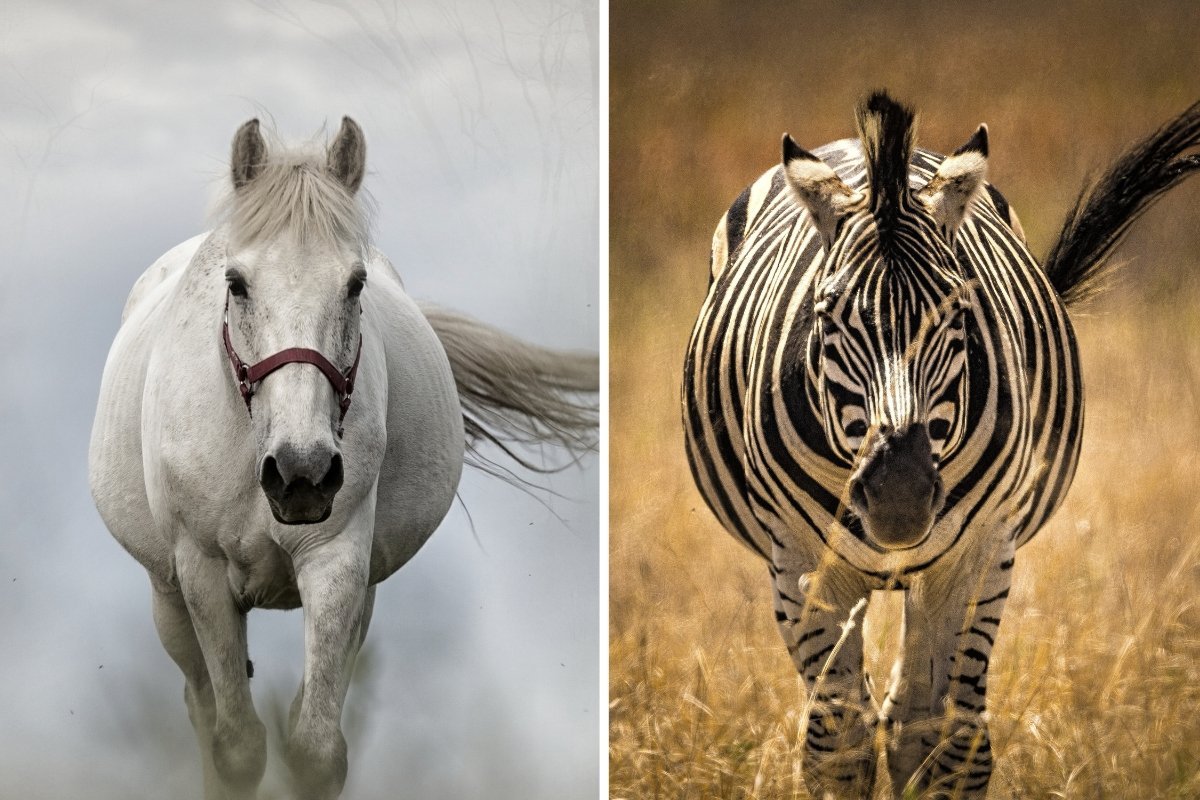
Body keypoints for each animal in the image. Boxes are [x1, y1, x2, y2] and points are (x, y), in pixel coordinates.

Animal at [88, 117, 597, 800]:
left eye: (355, 284)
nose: (300, 473)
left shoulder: (339, 562)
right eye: (236, 283)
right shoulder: (202, 572)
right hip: (166, 595)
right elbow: (237, 748)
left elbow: (314, 748)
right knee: (201, 705)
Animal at [682, 91, 1200, 798]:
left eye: (956, 312)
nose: (899, 497)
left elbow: (944, 739)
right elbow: (837, 745)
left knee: (916, 719)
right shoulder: (799, 562)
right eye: (827, 316)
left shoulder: (979, 556)